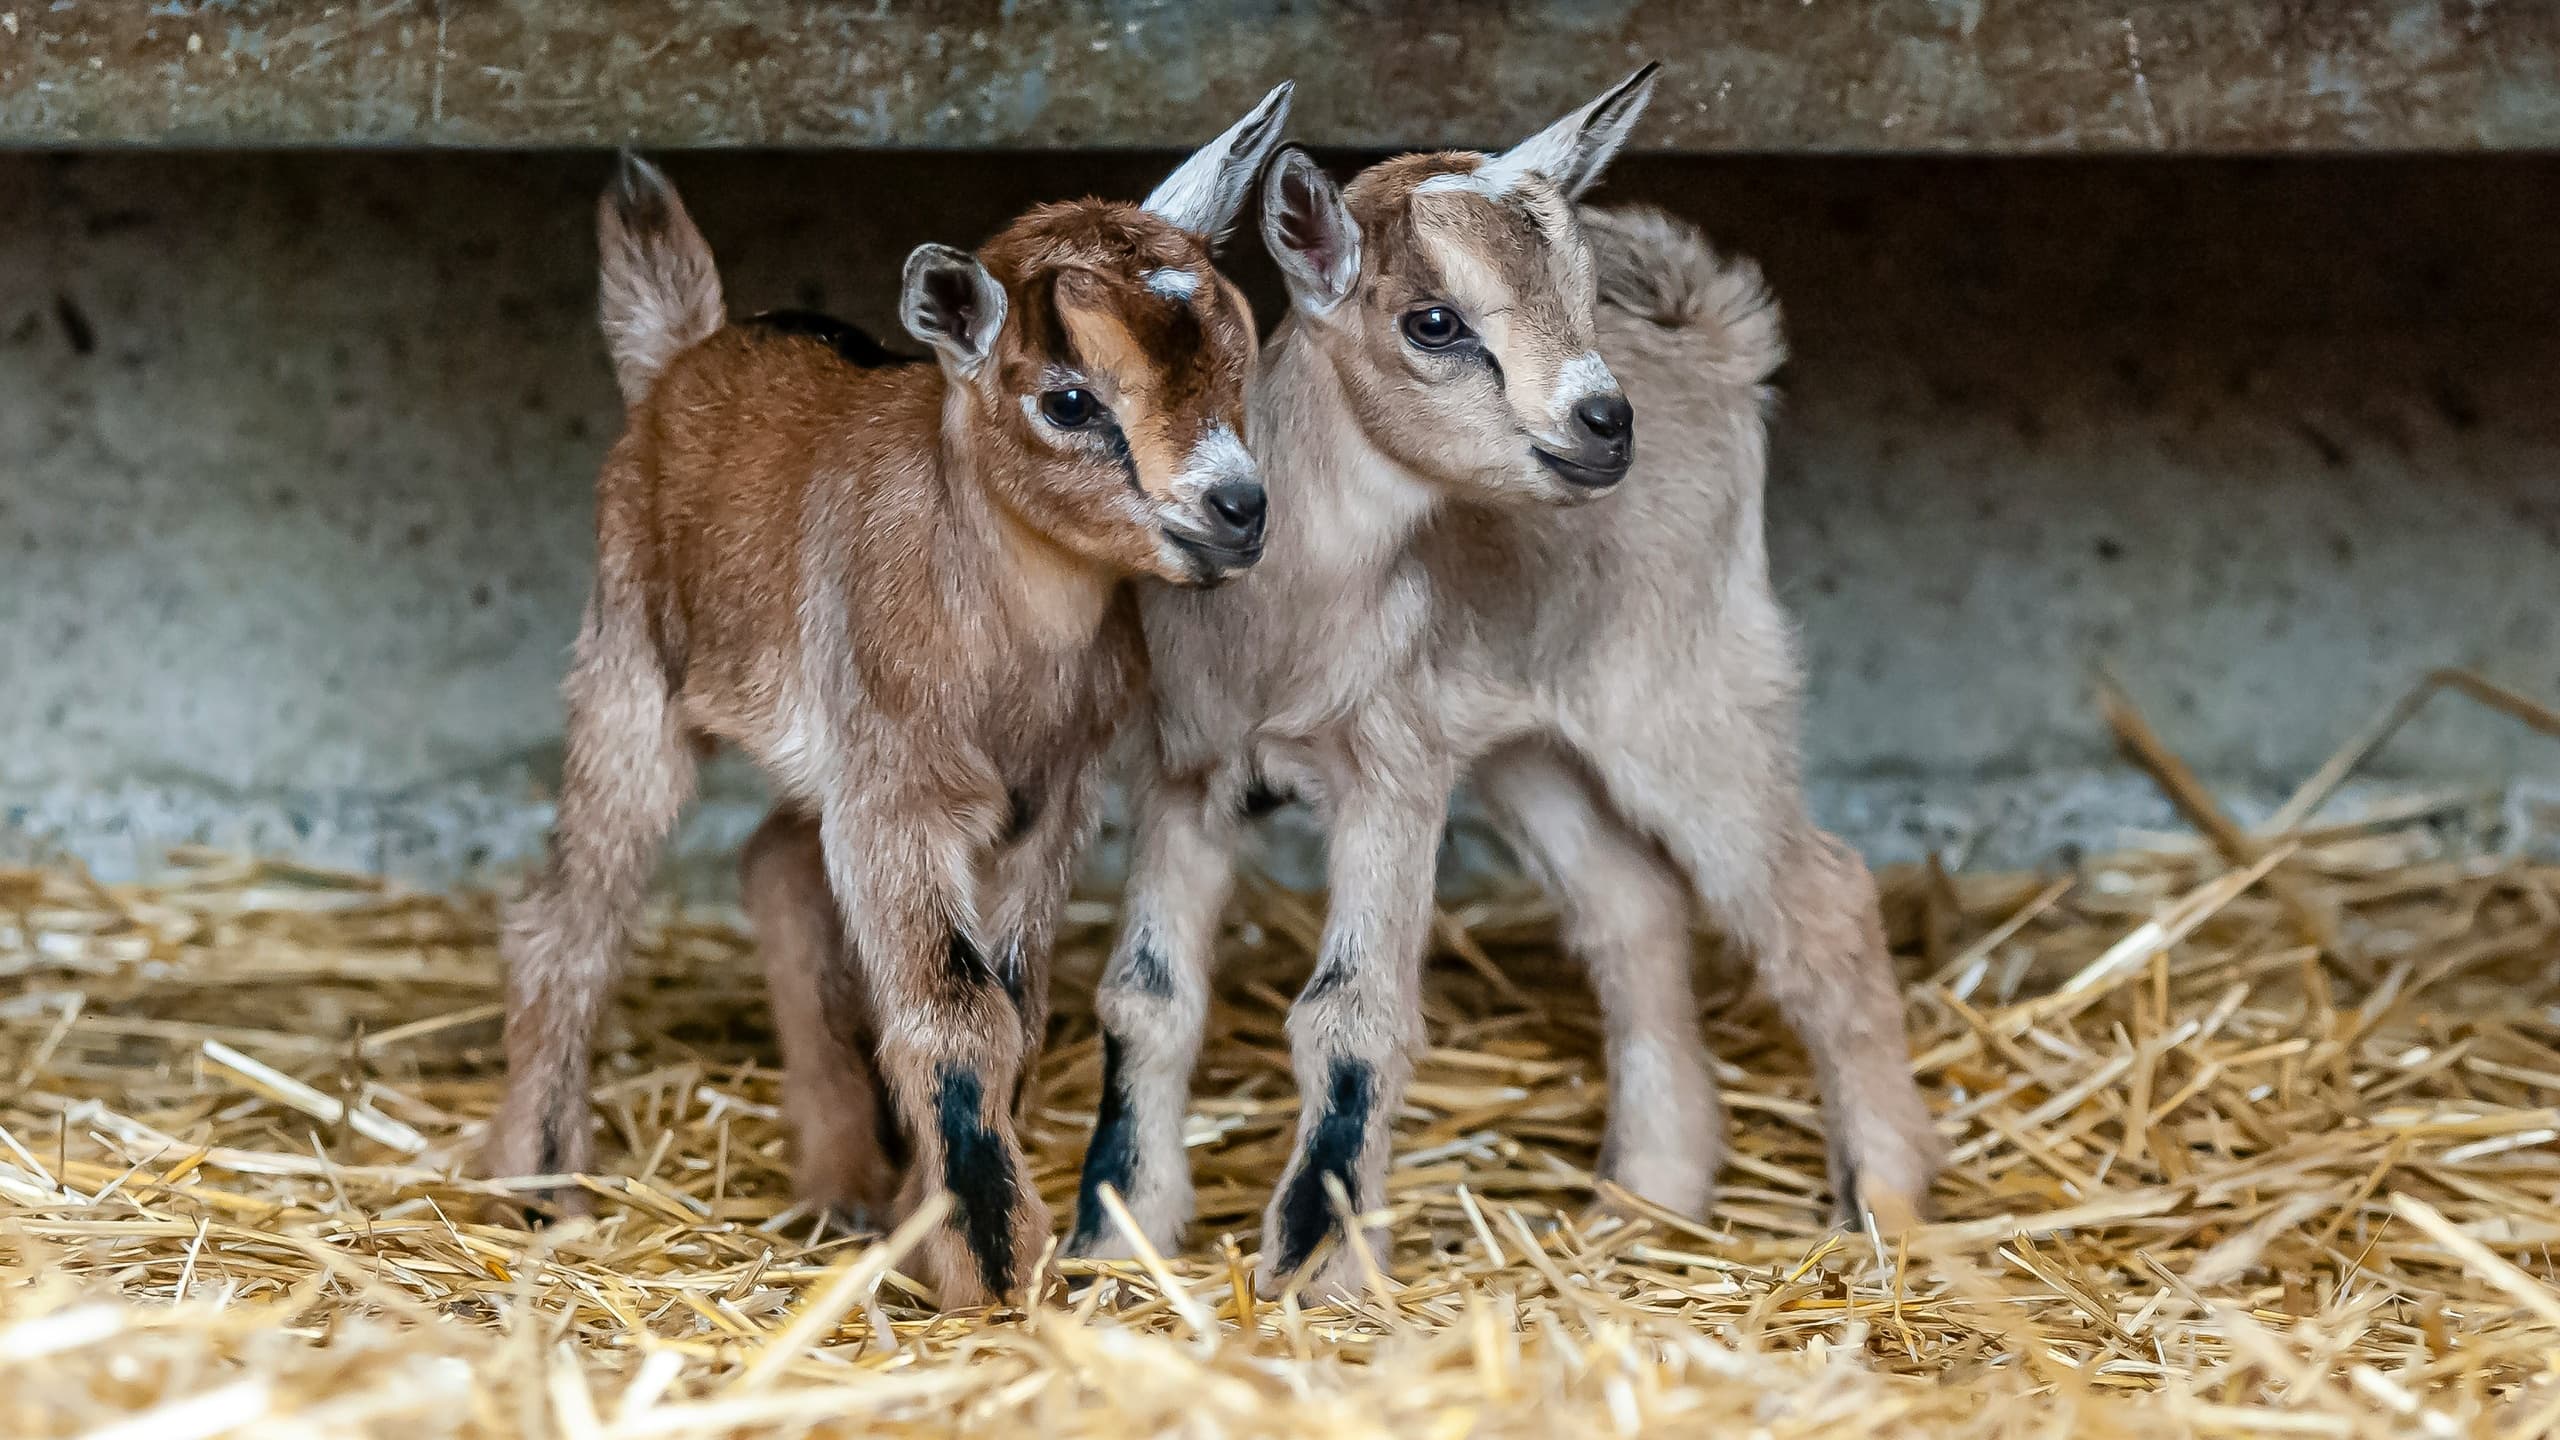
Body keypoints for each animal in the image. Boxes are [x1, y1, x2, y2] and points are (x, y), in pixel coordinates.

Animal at [482, 84, 1293, 1310]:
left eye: (1239, 362)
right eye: (1069, 401)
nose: (1240, 510)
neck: (1001, 634)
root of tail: (684, 353)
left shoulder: (1049, 794)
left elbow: (1016, 1003)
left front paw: (931, 1231)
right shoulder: (901, 792)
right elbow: (956, 1013)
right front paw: (996, 1275)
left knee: (774, 862)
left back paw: (842, 1186)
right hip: (632, 670)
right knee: (569, 917)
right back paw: (538, 1191)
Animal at [1066, 66, 1942, 1296]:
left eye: (1579, 294)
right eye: (1433, 321)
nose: (1602, 423)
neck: (1284, 624)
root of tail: (1712, 356)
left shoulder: (1390, 771)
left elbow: (1352, 1010)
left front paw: (1321, 1270)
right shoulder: (1183, 772)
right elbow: (1145, 995)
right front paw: (1114, 1241)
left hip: (1687, 691)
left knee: (1819, 900)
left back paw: (1889, 1202)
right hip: (1533, 747)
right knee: (1632, 908)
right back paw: (1646, 1197)